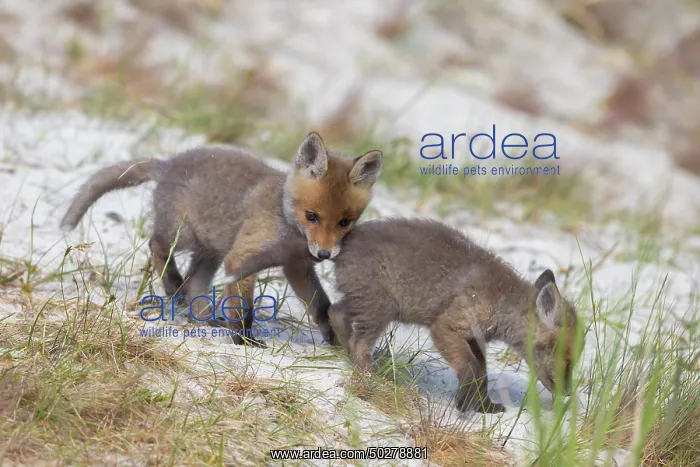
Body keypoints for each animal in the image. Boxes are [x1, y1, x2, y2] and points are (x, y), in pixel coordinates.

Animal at [60, 132, 382, 346]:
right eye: (311, 216)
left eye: (344, 222)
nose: (324, 255)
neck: (286, 222)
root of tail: (168, 164)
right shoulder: (242, 257)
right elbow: (243, 307)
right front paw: (244, 341)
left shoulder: (296, 267)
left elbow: (321, 306)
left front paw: (334, 338)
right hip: (184, 236)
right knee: (156, 246)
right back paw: (173, 286)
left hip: (211, 251)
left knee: (194, 284)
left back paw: (202, 316)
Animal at [325, 218, 579, 413]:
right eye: (567, 360)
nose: (568, 393)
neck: (500, 304)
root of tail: (341, 246)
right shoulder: (446, 329)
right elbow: (472, 369)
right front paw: (465, 403)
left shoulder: (474, 339)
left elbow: (482, 375)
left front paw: (484, 407)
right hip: (379, 309)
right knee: (359, 343)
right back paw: (375, 377)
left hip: (363, 303)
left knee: (334, 313)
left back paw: (344, 353)